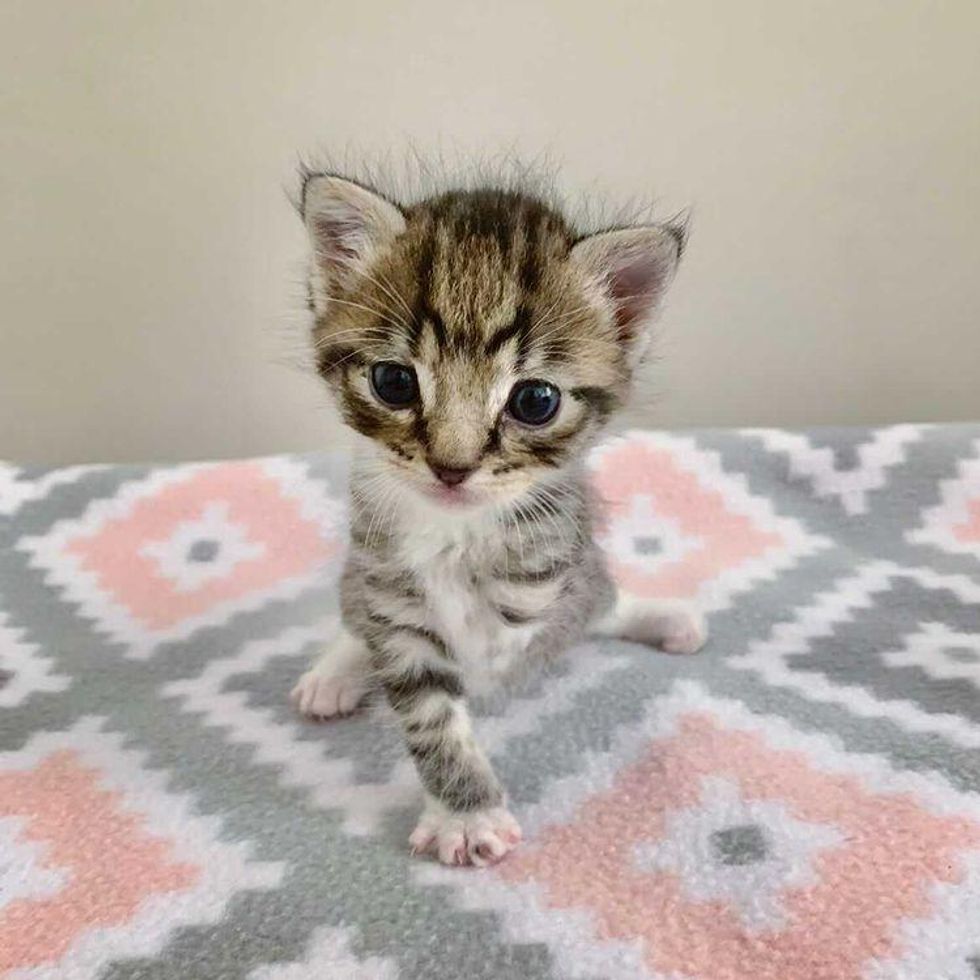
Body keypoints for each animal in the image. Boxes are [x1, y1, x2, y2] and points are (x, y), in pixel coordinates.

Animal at [290, 172, 704, 868]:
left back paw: (666, 619)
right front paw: (467, 815)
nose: (452, 469)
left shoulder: (555, 551)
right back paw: (335, 673)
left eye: (535, 400)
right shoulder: (388, 589)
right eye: (394, 382)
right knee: (355, 613)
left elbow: (519, 606)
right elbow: (430, 711)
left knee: (599, 602)